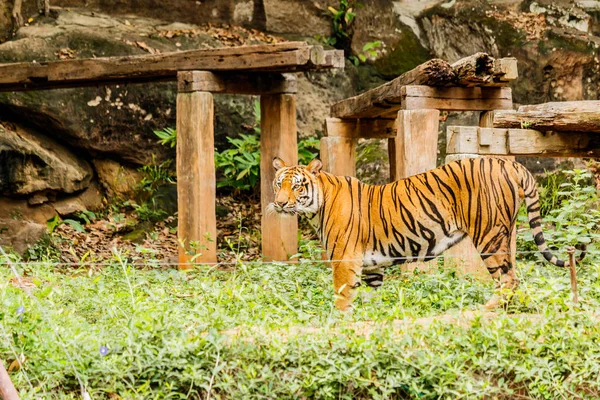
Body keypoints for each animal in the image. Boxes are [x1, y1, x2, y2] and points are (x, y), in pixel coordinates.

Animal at [270, 155, 580, 310]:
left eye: (297, 185)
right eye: (278, 184)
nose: (280, 203)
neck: (316, 206)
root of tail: (510, 162)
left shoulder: (345, 260)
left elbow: (342, 296)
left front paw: (341, 321)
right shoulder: (371, 267)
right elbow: (369, 296)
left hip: (489, 234)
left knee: (508, 278)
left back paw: (490, 308)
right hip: (505, 231)